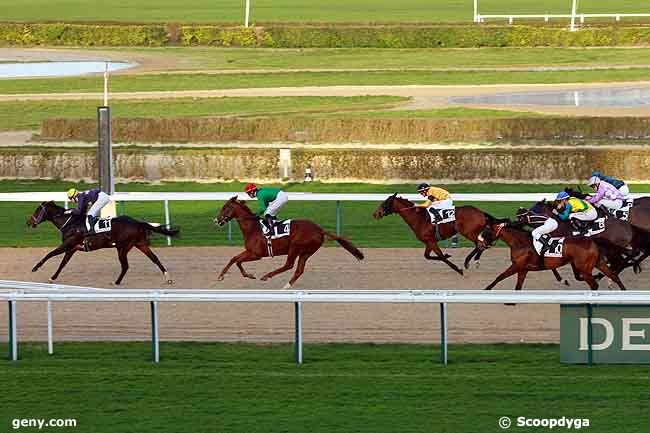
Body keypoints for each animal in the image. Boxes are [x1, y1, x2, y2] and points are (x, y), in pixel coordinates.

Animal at [27, 201, 177, 286]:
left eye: (37, 210)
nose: (29, 222)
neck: (70, 223)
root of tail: (137, 222)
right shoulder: (72, 248)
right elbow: (63, 263)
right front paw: (52, 278)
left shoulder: (68, 244)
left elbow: (50, 254)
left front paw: (35, 267)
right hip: (140, 244)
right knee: (155, 259)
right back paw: (168, 278)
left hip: (122, 247)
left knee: (125, 266)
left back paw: (116, 282)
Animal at [214, 197, 362, 286]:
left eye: (225, 207)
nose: (216, 220)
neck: (253, 228)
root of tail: (319, 229)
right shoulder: (249, 251)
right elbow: (234, 259)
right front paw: (223, 276)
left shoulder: (256, 254)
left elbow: (237, 261)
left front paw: (248, 275)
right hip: (306, 252)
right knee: (298, 270)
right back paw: (286, 286)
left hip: (295, 247)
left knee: (289, 265)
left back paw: (267, 276)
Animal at [476, 219, 624, 290]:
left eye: (486, 230)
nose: (479, 242)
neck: (519, 242)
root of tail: (592, 240)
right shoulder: (523, 269)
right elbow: (518, 286)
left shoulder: (517, 265)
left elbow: (500, 277)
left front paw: (486, 289)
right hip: (598, 263)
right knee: (614, 275)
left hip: (584, 267)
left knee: (594, 284)